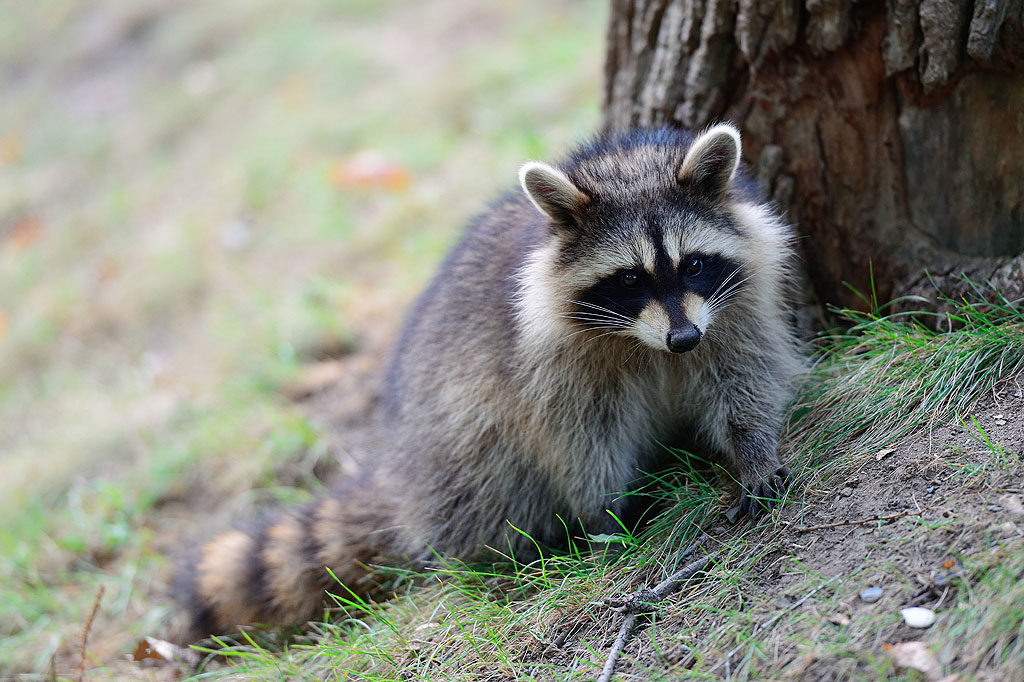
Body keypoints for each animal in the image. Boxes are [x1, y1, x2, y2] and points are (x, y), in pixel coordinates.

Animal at [174, 122, 798, 638]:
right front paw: (605, 511)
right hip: (457, 443)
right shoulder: (550, 363)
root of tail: (399, 471)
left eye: (693, 263)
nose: (683, 339)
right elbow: (579, 437)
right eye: (628, 279)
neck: (645, 342)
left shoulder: (733, 310)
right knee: (489, 478)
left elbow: (745, 379)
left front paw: (752, 450)